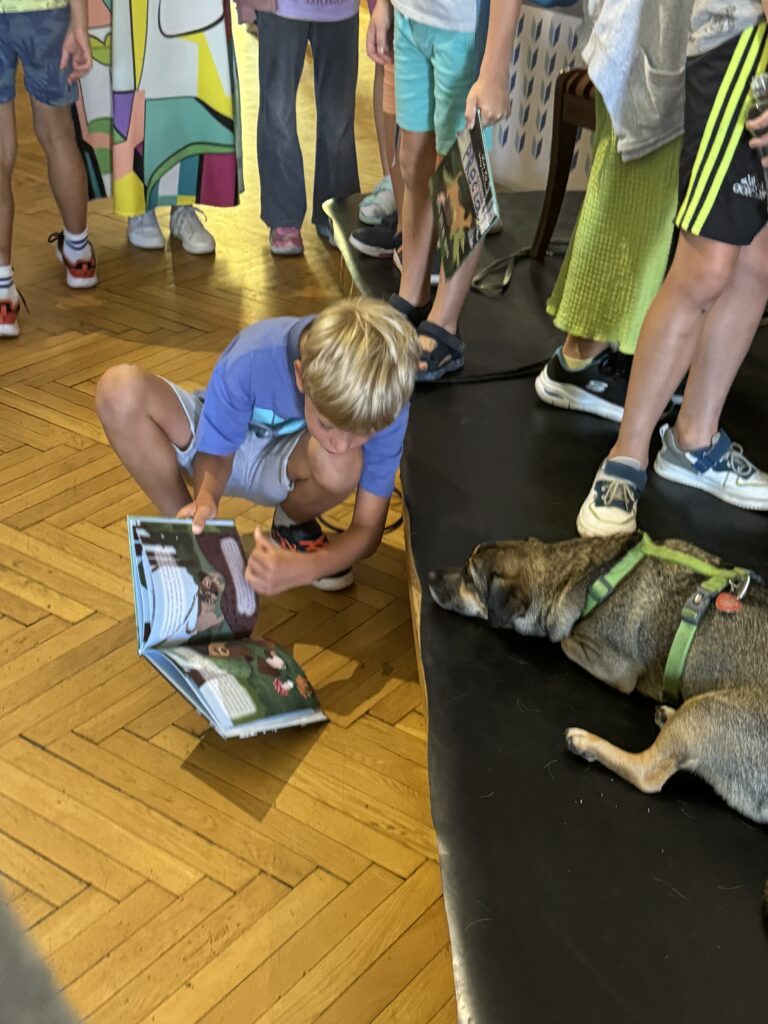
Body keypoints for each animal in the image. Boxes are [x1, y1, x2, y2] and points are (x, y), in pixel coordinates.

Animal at [430, 532, 768, 909]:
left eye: (468, 578)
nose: (428, 576)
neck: (579, 570)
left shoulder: (615, 668)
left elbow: (563, 640)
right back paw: (665, 714)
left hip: (706, 711)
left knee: (648, 773)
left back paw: (586, 743)